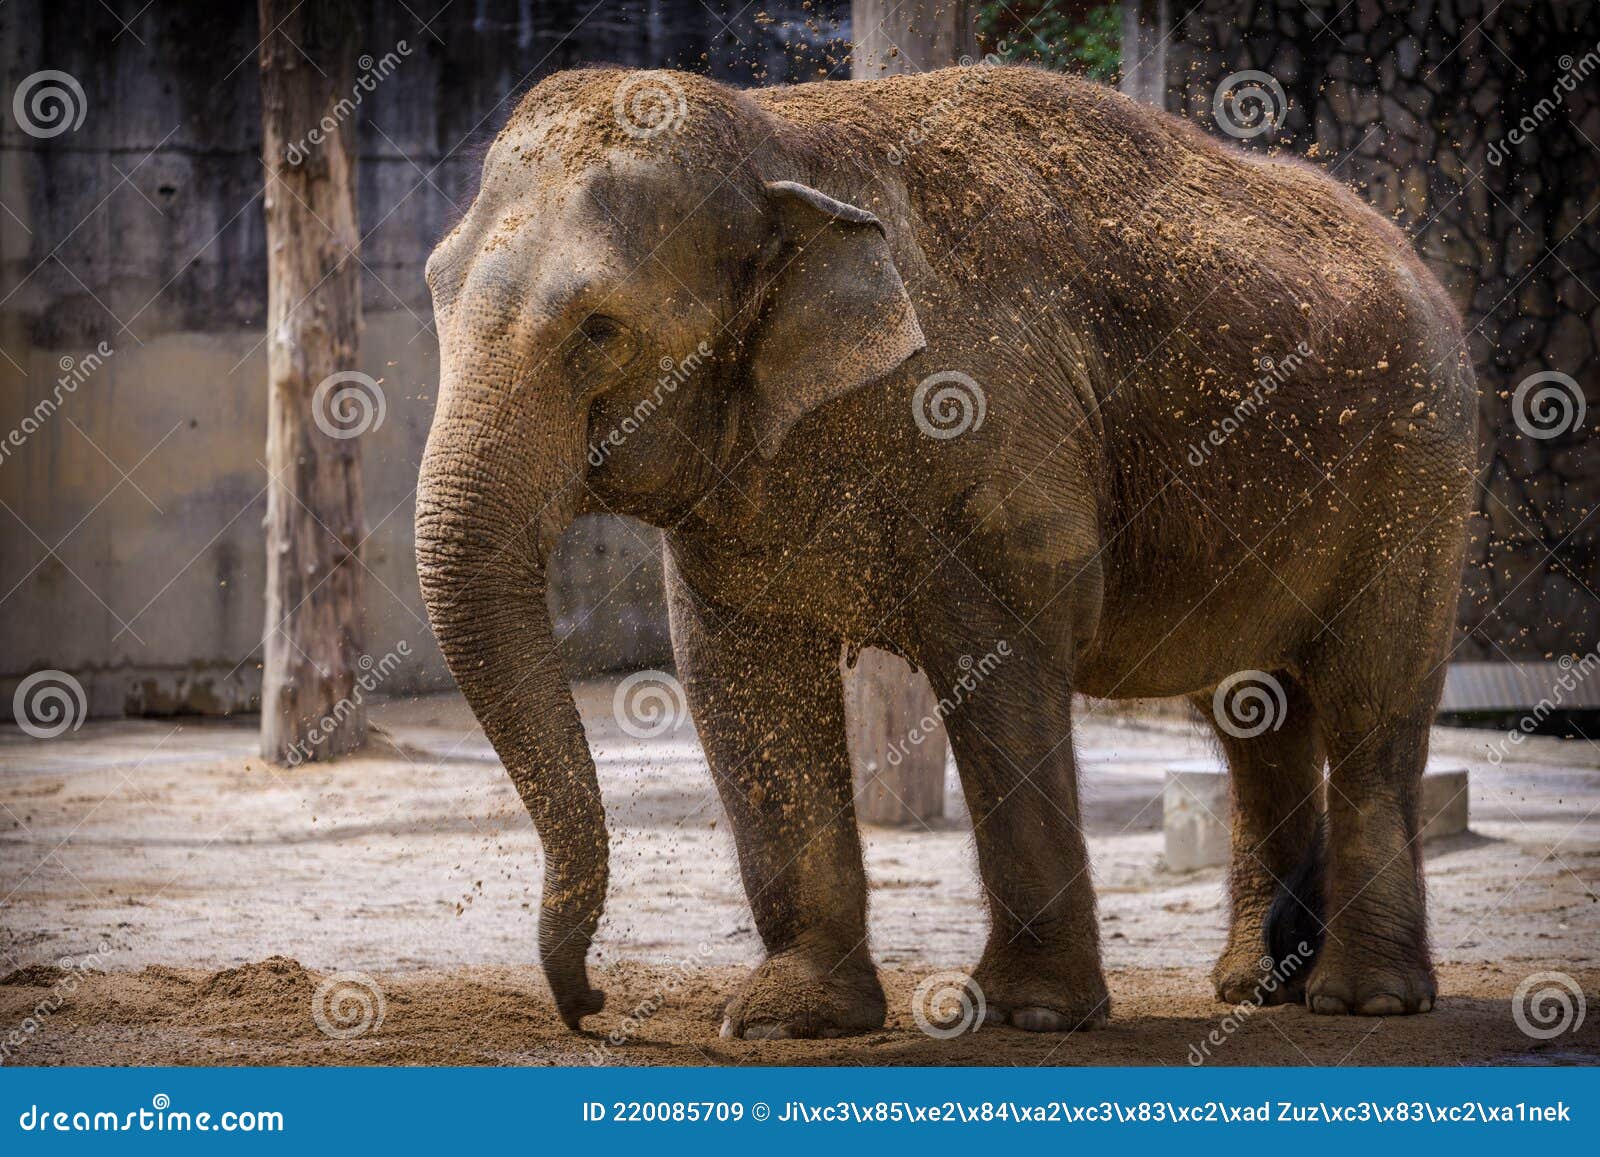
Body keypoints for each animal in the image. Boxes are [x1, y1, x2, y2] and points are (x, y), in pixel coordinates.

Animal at [415, 63, 1478, 1039]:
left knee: (1371, 703)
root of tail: (1415, 255)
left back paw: (1367, 1000)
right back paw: (1258, 987)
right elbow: (740, 677)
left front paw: (1031, 1015)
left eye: (600, 330)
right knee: (1255, 711)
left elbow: (999, 665)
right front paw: (787, 1018)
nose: (594, 1008)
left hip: (1421, 473)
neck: (784, 138)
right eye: (433, 292)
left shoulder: (996, 426)